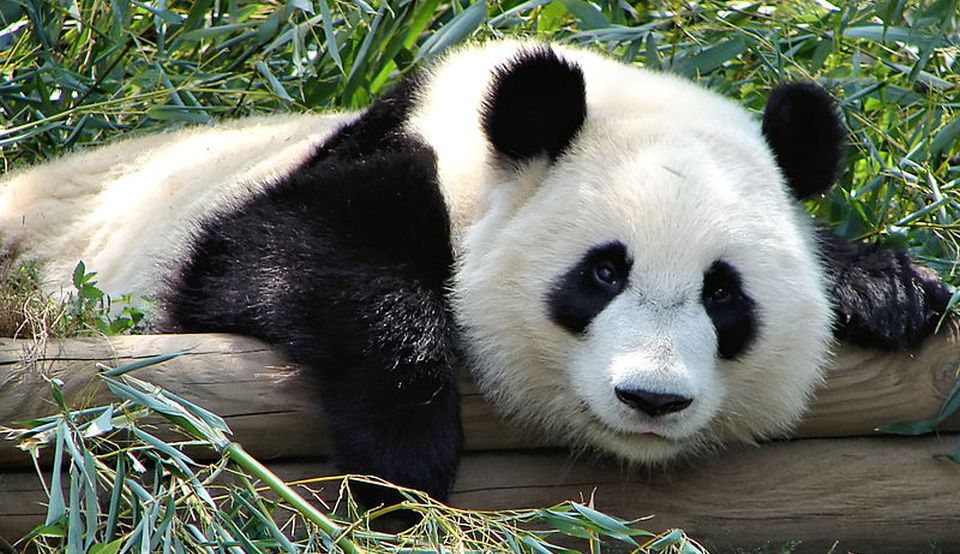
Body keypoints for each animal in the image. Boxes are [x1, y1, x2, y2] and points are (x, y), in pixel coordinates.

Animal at [0, 41, 950, 505]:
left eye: (724, 294)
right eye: (602, 274)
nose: (652, 398)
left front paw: (891, 289)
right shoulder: (371, 167)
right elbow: (268, 258)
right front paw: (404, 458)